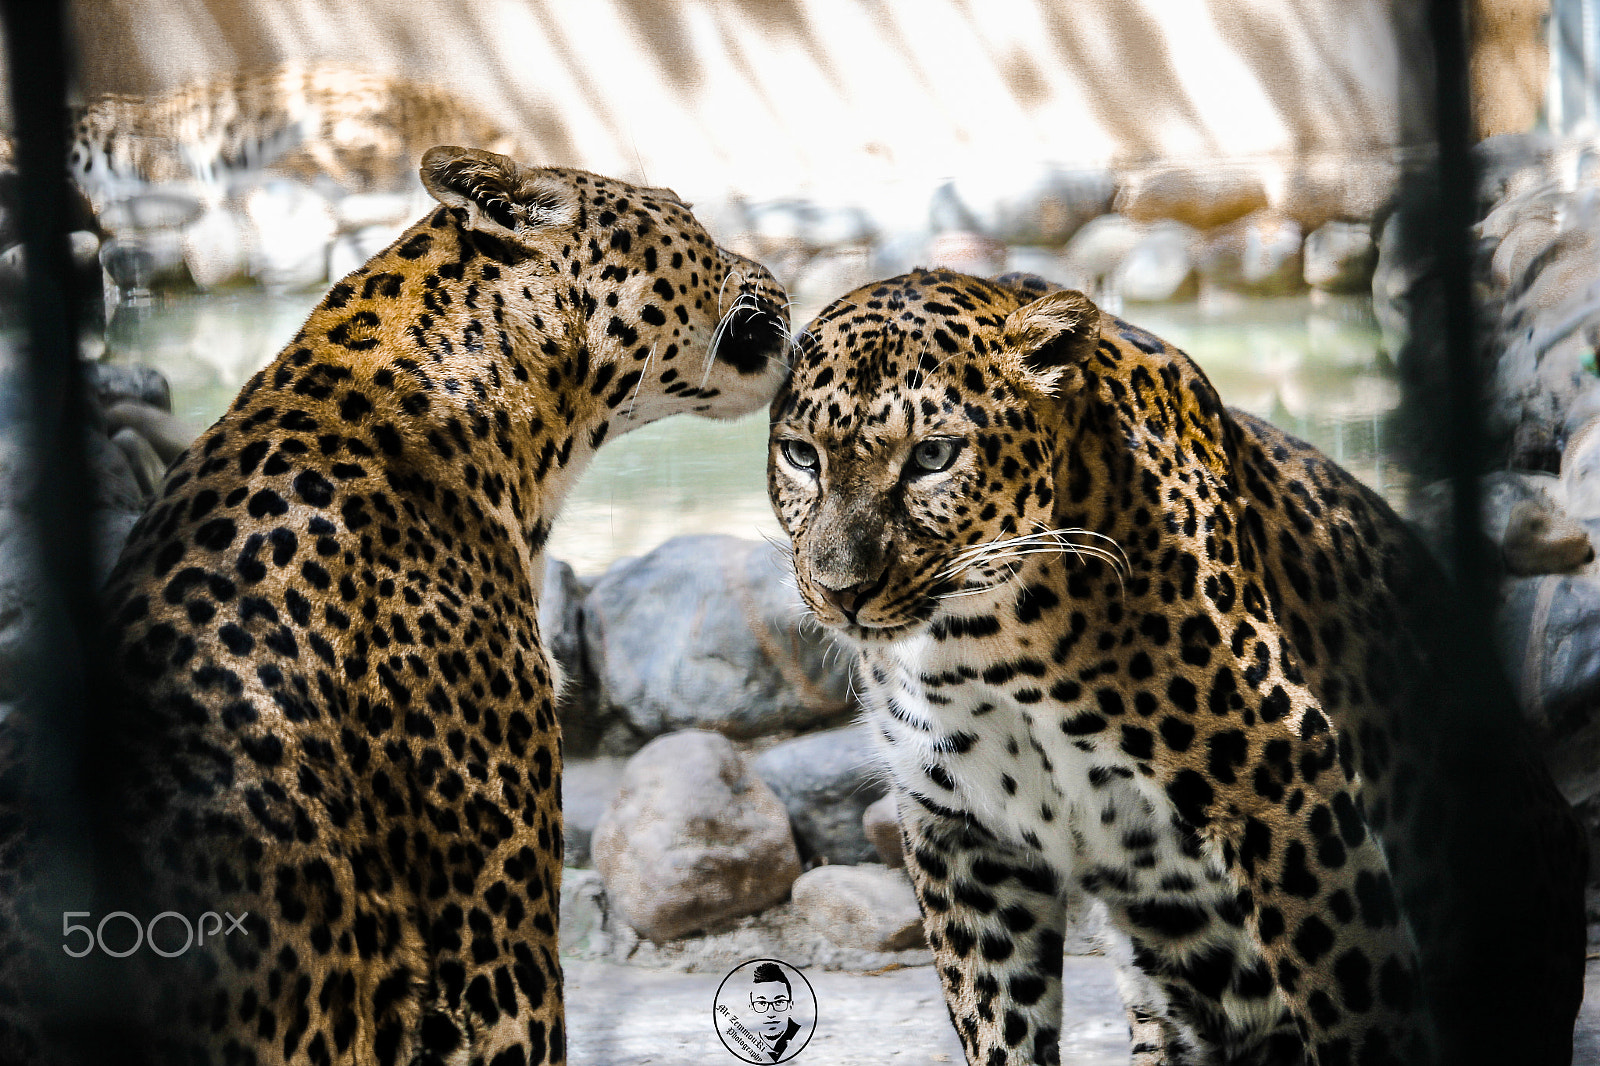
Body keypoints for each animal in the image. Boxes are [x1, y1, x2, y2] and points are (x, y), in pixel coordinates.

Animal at [767, 268, 1586, 1066]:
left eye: (933, 457)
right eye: (802, 456)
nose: (841, 591)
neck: (980, 645)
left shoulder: (1282, 781)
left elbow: (1352, 989)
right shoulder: (965, 837)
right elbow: (998, 1021)